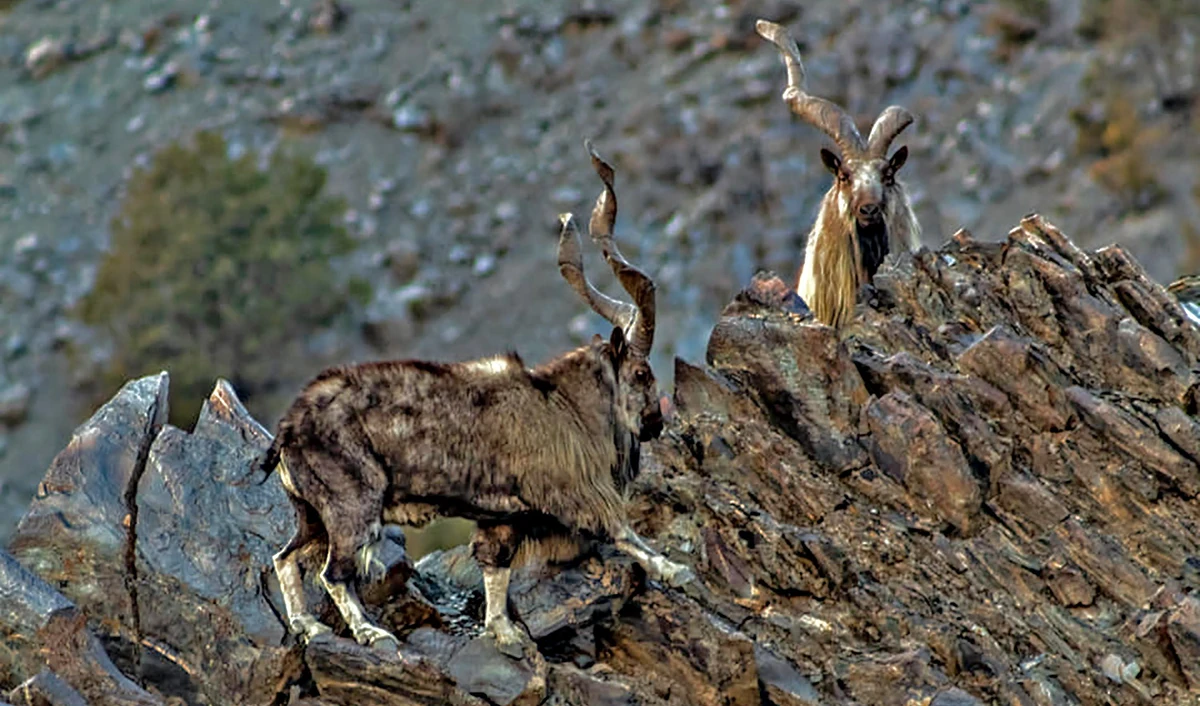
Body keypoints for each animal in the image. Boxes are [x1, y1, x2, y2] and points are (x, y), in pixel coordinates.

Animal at [261, 141, 692, 651]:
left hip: (310, 512)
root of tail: (288, 429)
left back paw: (307, 625)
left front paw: (502, 631)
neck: (563, 405)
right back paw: (370, 631)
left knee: (287, 557)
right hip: (352, 504)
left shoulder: (501, 516)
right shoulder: (573, 491)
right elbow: (621, 529)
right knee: (334, 571)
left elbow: (494, 565)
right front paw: (675, 569)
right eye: (642, 371)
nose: (655, 423)